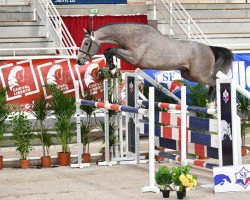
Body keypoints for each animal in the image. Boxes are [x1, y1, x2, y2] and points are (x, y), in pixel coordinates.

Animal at [76, 22, 234, 102]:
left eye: (86, 43)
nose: (79, 61)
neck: (131, 34)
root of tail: (210, 48)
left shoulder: (133, 57)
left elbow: (110, 50)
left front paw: (111, 67)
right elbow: (109, 51)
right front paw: (110, 68)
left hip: (199, 75)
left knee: (214, 82)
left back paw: (211, 102)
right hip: (188, 74)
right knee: (212, 82)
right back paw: (209, 101)